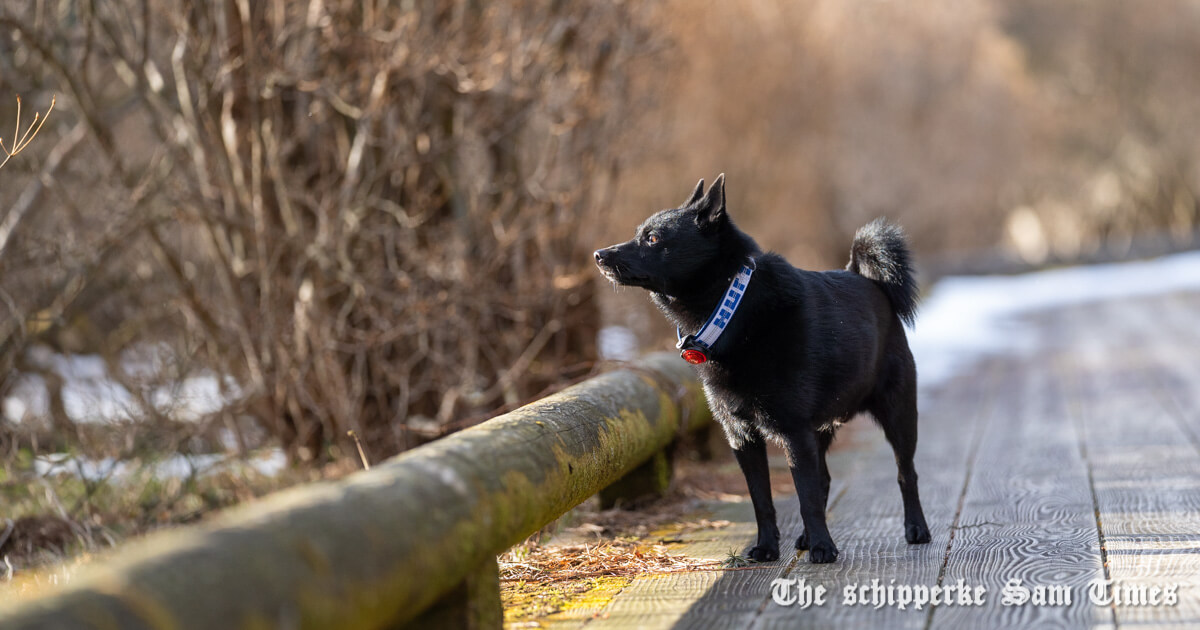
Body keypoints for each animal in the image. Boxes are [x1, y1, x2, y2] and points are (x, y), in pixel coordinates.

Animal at [595, 174, 931, 561]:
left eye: (652, 239)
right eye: (639, 233)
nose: (599, 255)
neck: (733, 308)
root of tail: (866, 279)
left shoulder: (793, 432)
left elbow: (806, 497)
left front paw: (823, 547)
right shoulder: (743, 437)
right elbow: (763, 499)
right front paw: (769, 546)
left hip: (898, 413)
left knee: (906, 473)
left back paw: (915, 528)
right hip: (822, 426)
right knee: (825, 478)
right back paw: (805, 538)